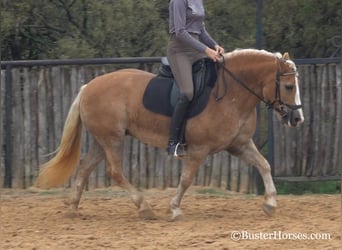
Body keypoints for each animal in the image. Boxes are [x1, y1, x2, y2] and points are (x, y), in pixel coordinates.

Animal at [35, 49, 304, 221]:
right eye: (289, 86)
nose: (297, 119)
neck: (230, 94)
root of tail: (87, 87)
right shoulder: (198, 150)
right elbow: (186, 180)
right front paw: (174, 209)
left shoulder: (239, 145)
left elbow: (265, 165)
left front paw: (270, 204)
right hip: (113, 139)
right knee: (115, 171)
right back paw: (144, 208)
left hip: (103, 140)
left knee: (85, 168)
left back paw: (72, 208)